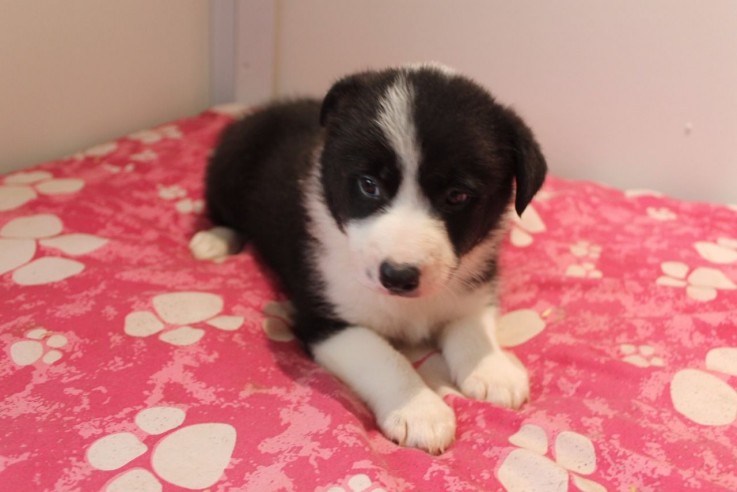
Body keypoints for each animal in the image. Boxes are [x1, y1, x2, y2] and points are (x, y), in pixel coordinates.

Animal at [190, 64, 548, 454]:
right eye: (368, 185)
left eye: (457, 195)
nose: (397, 276)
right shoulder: (325, 317)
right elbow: (381, 355)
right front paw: (419, 411)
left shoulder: (475, 282)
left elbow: (472, 324)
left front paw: (494, 370)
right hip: (228, 171)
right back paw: (213, 240)